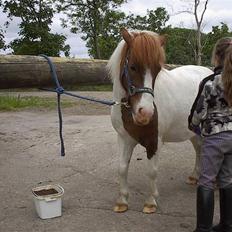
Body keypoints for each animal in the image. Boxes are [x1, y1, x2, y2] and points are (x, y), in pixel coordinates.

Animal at [107, 29, 212, 214]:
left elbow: (152, 171)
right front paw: (122, 201)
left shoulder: (154, 141)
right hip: (194, 132)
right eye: (133, 66)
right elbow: (122, 168)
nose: (146, 112)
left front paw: (150, 202)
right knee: (199, 149)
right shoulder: (124, 138)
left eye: (157, 69)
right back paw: (194, 176)